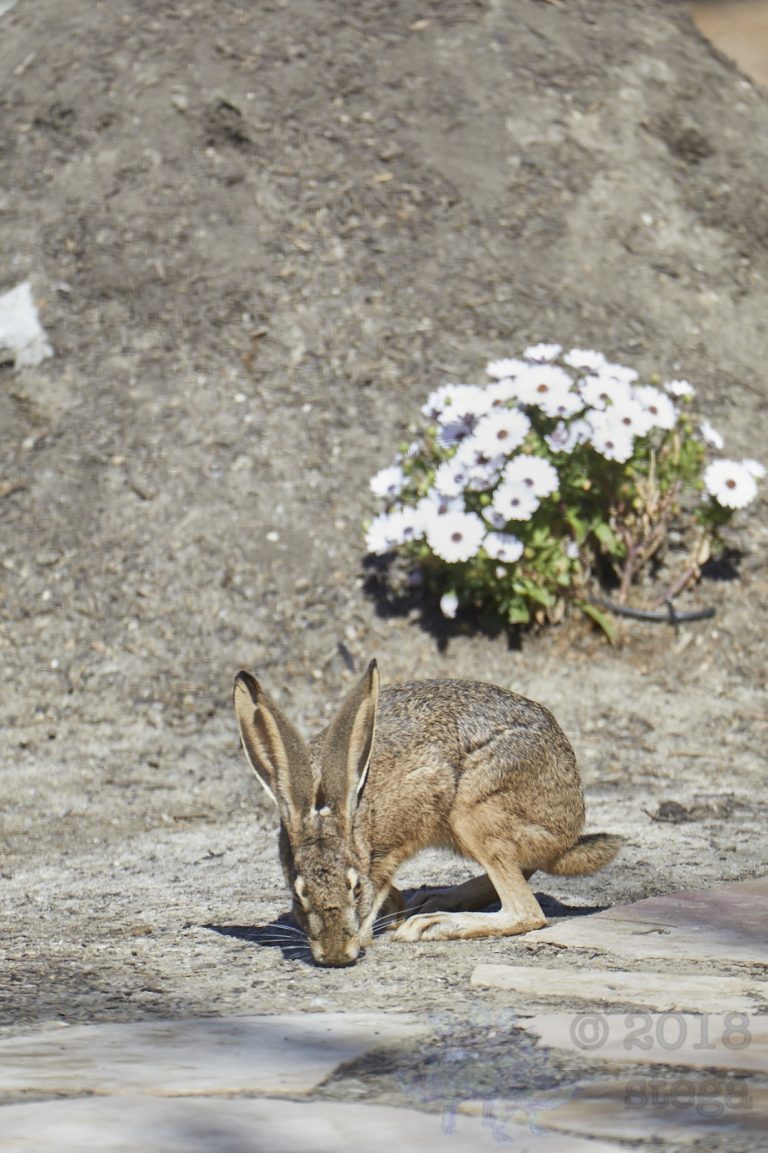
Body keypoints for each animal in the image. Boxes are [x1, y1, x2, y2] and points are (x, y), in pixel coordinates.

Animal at [233, 659, 622, 967]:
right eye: (298, 894)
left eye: (354, 888)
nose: (336, 956)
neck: (343, 814)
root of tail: (569, 830)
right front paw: (394, 908)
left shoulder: (400, 835)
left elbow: (381, 883)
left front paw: (378, 924)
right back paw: (433, 900)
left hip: (471, 812)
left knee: (526, 910)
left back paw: (432, 923)